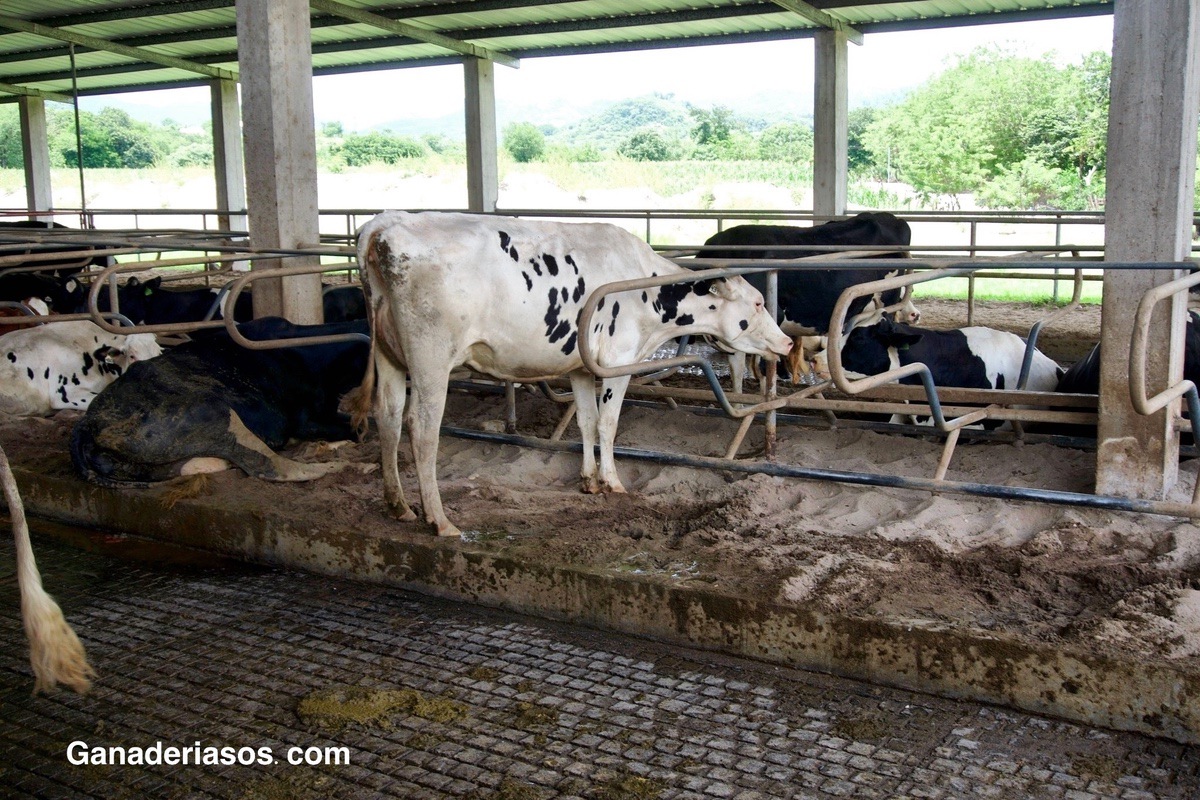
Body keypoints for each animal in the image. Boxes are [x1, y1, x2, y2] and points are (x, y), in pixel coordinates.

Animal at [70, 317, 369, 486]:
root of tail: (87, 423)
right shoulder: (305, 418)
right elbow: (360, 429)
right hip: (213, 411)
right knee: (271, 467)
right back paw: (346, 465)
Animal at [351, 210, 792, 537]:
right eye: (757, 302)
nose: (787, 343)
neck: (647, 285)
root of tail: (386, 223)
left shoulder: (580, 367)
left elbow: (586, 421)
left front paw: (589, 480)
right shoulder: (617, 361)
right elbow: (609, 423)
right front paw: (613, 482)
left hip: (390, 355)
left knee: (388, 416)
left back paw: (398, 505)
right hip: (431, 358)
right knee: (422, 429)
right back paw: (439, 520)